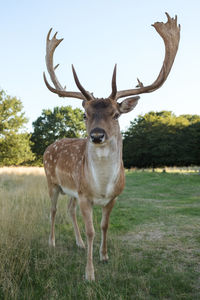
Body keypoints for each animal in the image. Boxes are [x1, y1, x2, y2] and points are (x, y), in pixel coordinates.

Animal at [43, 13, 180, 282]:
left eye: (116, 114)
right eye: (85, 114)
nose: (97, 135)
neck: (102, 186)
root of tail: (50, 146)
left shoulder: (113, 197)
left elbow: (104, 226)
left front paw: (104, 256)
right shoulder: (85, 195)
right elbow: (91, 231)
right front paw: (89, 274)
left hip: (70, 190)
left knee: (68, 209)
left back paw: (78, 244)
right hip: (51, 181)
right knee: (52, 210)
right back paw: (52, 243)